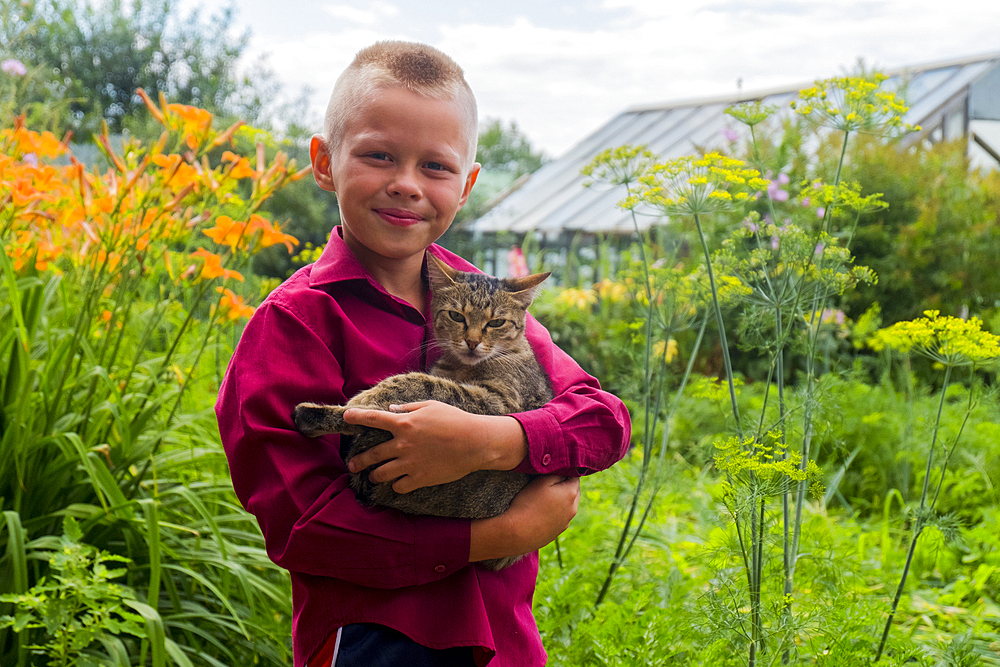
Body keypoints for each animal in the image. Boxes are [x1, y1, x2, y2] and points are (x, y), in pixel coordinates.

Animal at [290, 253, 556, 572]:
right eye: (457, 316)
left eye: (496, 322)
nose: (472, 342)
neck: (463, 366)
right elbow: (426, 382)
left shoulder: (500, 403)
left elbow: (418, 382)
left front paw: (363, 399)